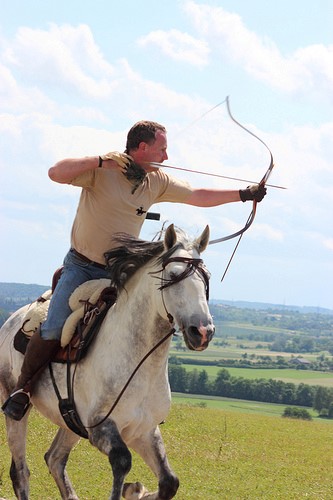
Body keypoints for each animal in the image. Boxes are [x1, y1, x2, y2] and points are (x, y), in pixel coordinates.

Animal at [0, 225, 214, 498]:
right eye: (174, 275)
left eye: (206, 276)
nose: (203, 331)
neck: (140, 363)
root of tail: (12, 320)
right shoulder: (101, 428)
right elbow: (122, 461)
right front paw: (131, 489)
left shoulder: (143, 431)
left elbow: (169, 482)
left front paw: (136, 491)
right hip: (16, 408)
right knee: (20, 472)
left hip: (70, 421)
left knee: (55, 459)